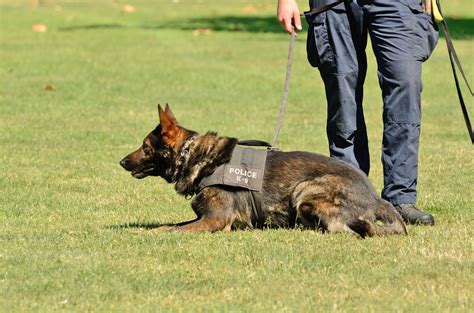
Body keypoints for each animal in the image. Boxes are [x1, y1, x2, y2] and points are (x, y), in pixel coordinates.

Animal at [120, 105, 406, 236]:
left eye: (144, 147)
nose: (121, 162)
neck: (197, 157)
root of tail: (375, 197)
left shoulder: (216, 220)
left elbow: (172, 229)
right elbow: (168, 224)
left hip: (305, 191)